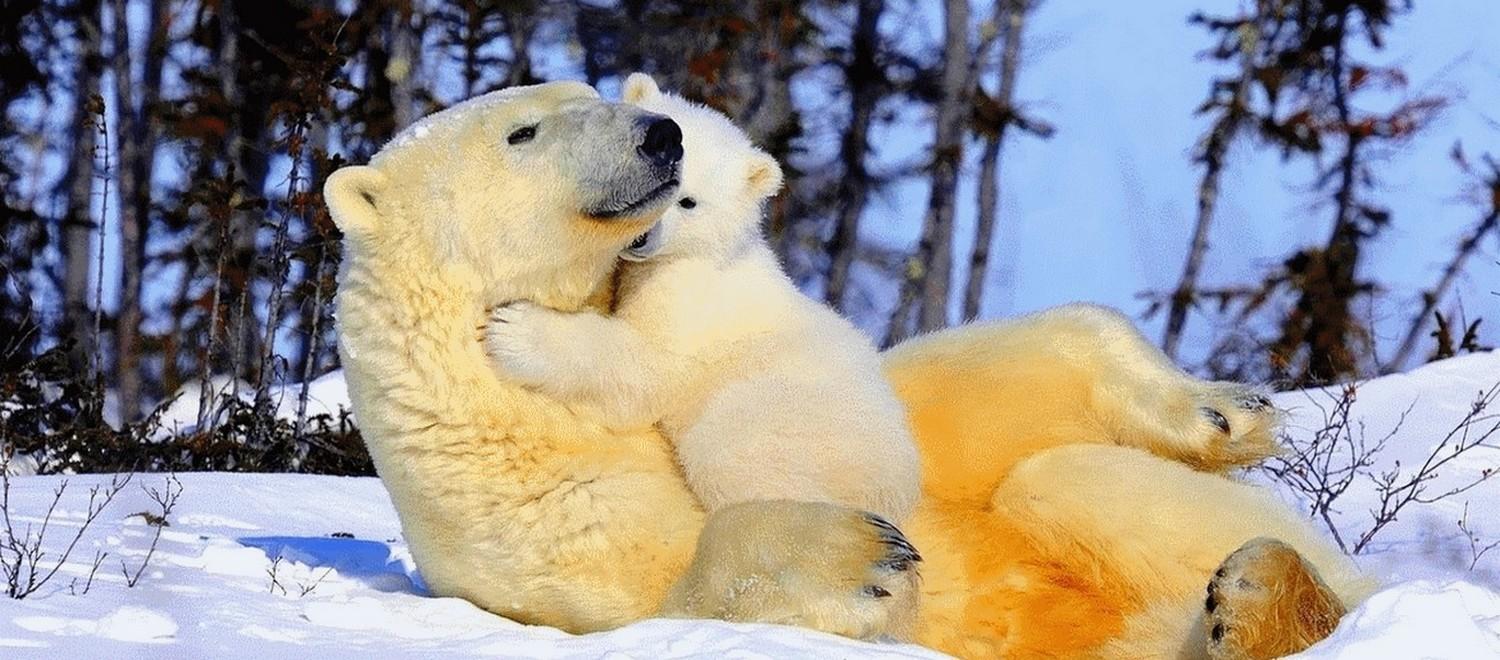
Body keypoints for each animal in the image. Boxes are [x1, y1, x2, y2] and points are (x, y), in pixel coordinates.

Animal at [328, 82, 1374, 660]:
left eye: (594, 91)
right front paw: (858, 554)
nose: (658, 136)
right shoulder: (528, 519)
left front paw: (1223, 411)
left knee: (1072, 481)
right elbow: (665, 590)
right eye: (523, 133)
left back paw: (1262, 588)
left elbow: (971, 395)